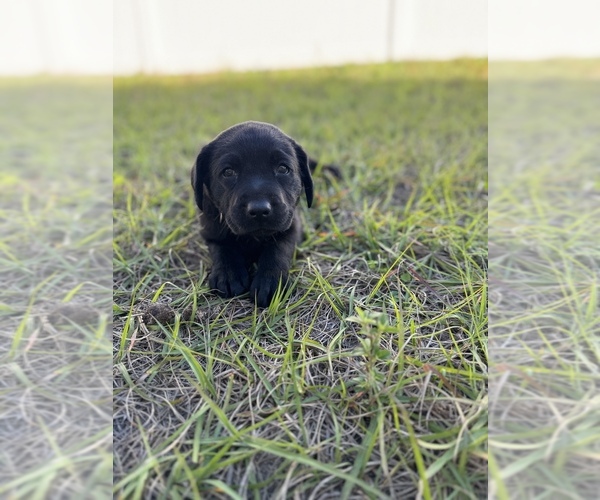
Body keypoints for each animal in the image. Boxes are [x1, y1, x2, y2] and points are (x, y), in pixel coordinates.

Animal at [191, 122, 328, 308]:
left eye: (283, 168)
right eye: (228, 172)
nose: (259, 209)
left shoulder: (292, 224)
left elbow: (278, 248)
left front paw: (270, 282)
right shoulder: (210, 229)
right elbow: (222, 247)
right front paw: (228, 274)